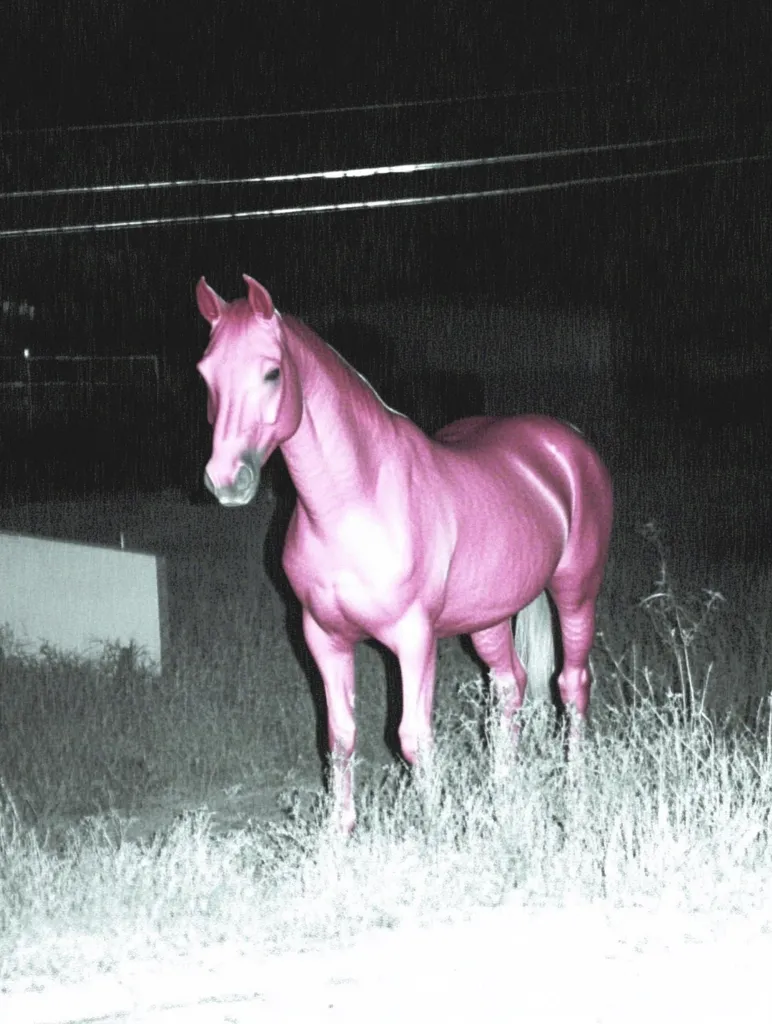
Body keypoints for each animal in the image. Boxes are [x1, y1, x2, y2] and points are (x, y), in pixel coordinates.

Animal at [196, 275, 614, 833]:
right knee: (511, 686)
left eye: (272, 371)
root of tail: (567, 444)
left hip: (575, 592)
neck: (356, 503)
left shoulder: (415, 639)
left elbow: (414, 739)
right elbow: (340, 737)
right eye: (205, 374)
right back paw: (503, 794)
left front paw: (432, 828)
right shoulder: (324, 638)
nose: (226, 480)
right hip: (489, 618)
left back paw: (574, 790)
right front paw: (339, 833)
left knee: (572, 682)